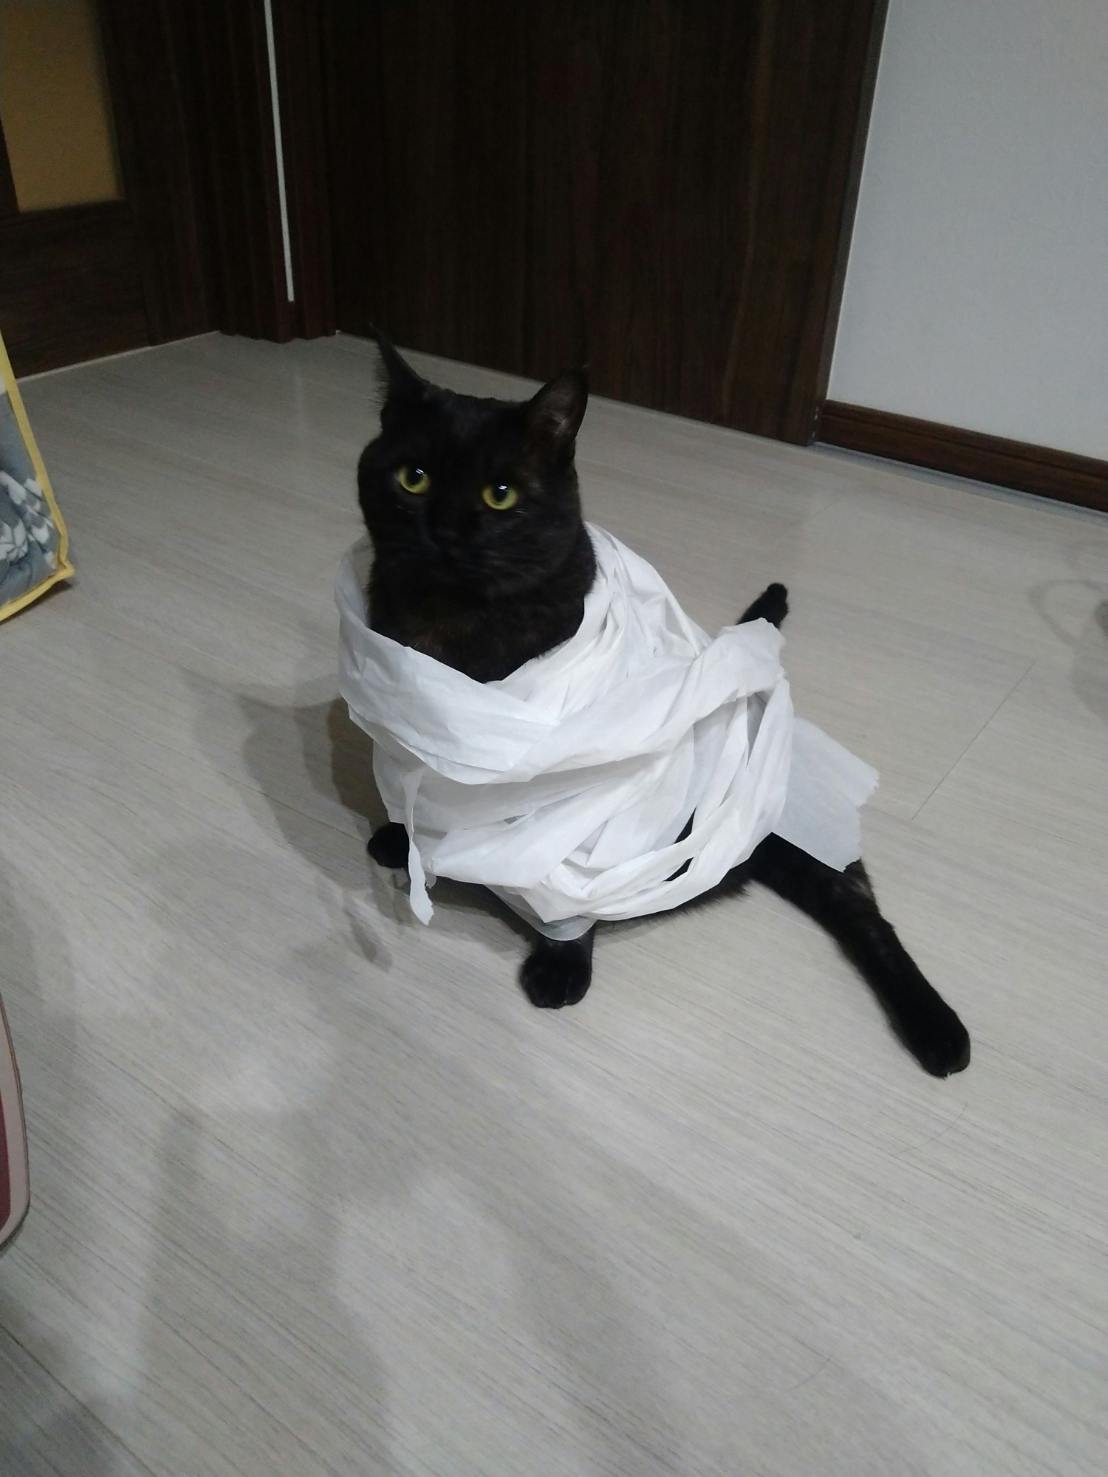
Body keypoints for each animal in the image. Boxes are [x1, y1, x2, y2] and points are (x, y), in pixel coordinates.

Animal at [356, 334, 970, 1078]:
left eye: (500, 494)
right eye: (412, 478)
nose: (445, 530)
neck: (452, 631)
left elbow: (571, 887)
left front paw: (562, 962)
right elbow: (412, 789)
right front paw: (401, 837)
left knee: (863, 911)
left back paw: (939, 1030)